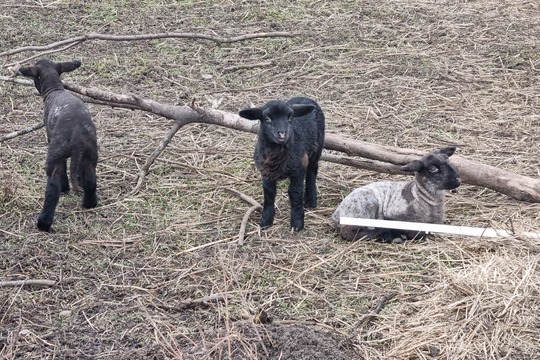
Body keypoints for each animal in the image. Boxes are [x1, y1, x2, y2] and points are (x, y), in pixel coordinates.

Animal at [17, 58, 98, 233]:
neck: (55, 89)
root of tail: (77, 136)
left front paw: (65, 188)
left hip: (55, 154)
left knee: (53, 186)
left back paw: (44, 224)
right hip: (91, 154)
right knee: (90, 179)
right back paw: (90, 204)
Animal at [239, 96, 324, 231]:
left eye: (290, 117)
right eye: (267, 118)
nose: (282, 134)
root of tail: (304, 97)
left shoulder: (298, 170)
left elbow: (295, 192)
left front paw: (297, 223)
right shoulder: (266, 171)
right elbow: (269, 193)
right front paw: (266, 220)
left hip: (317, 148)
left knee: (312, 171)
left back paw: (311, 200)